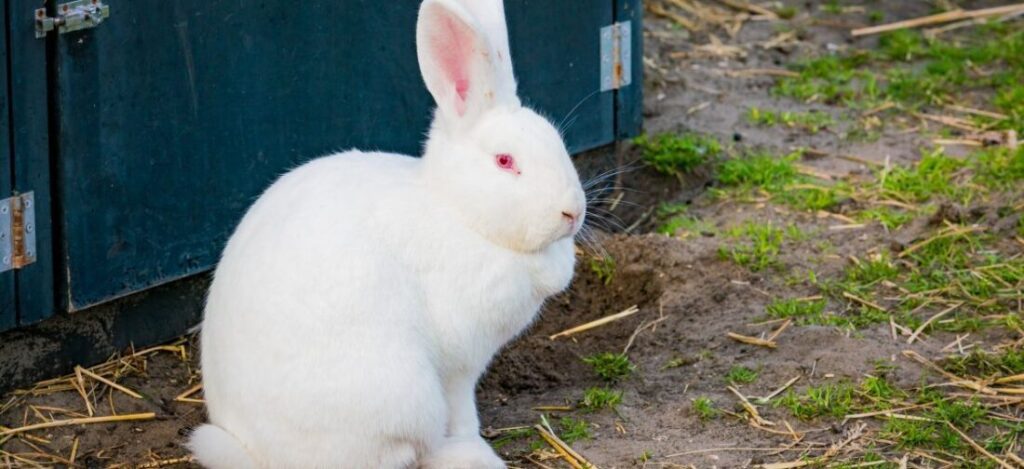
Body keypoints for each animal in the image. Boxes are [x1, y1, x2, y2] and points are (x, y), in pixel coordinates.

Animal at [187, 0, 586, 467]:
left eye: (557, 141)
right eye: (505, 161)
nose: (572, 212)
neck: (458, 211)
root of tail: (261, 455)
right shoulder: (458, 365)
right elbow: (461, 409)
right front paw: (470, 439)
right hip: (404, 397)